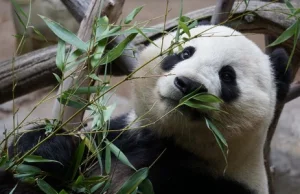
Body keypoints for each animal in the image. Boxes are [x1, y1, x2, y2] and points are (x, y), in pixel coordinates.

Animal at [0, 24, 290, 194]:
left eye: (228, 76)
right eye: (185, 52)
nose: (188, 85)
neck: (171, 143)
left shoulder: (220, 183)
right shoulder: (114, 142)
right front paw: (48, 149)